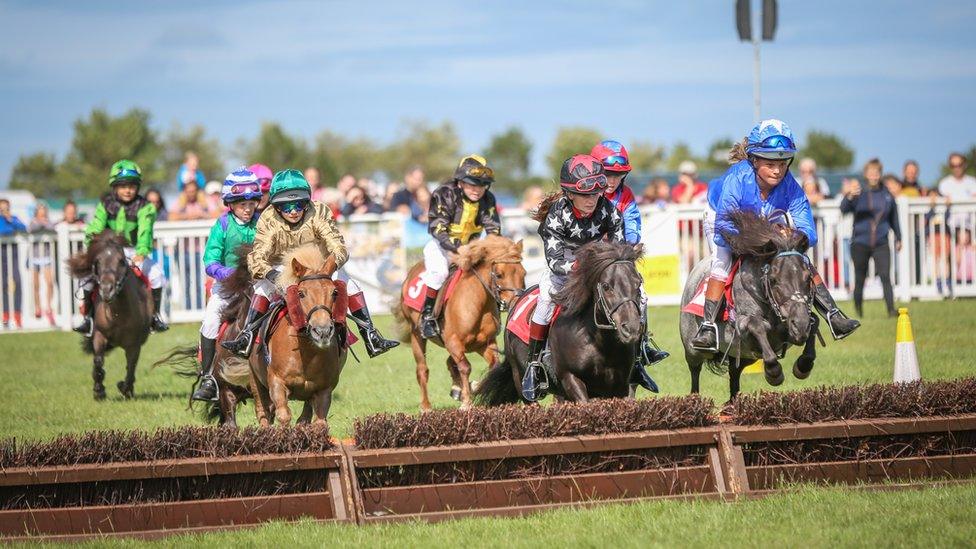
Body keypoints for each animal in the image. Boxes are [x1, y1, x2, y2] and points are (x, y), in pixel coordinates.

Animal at [69, 230, 153, 398]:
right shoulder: (100, 335)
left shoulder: (134, 344)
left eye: (121, 261)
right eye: (97, 262)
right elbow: (98, 361)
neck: (118, 314)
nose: (107, 290)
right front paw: (98, 390)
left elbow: (131, 365)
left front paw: (125, 388)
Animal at [394, 233, 528, 408]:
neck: (478, 305)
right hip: (416, 334)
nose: (516, 301)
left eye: (523, 273)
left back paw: (457, 389)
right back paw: (426, 406)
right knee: (422, 369)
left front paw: (473, 387)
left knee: (450, 363)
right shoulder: (454, 342)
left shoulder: (485, 343)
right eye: (499, 275)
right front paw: (466, 402)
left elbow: (493, 368)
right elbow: (465, 367)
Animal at [476, 240, 644, 402]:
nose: (631, 328)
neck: (598, 342)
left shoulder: (621, 386)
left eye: (638, 283)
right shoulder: (570, 378)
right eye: (606, 286)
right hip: (520, 378)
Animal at [680, 210, 824, 402]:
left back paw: (732, 402)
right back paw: (694, 399)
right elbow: (756, 326)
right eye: (774, 280)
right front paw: (773, 372)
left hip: (741, 356)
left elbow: (814, 321)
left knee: (734, 373)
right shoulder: (742, 325)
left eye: (808, 277)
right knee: (695, 371)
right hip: (693, 349)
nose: (800, 325)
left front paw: (803, 365)